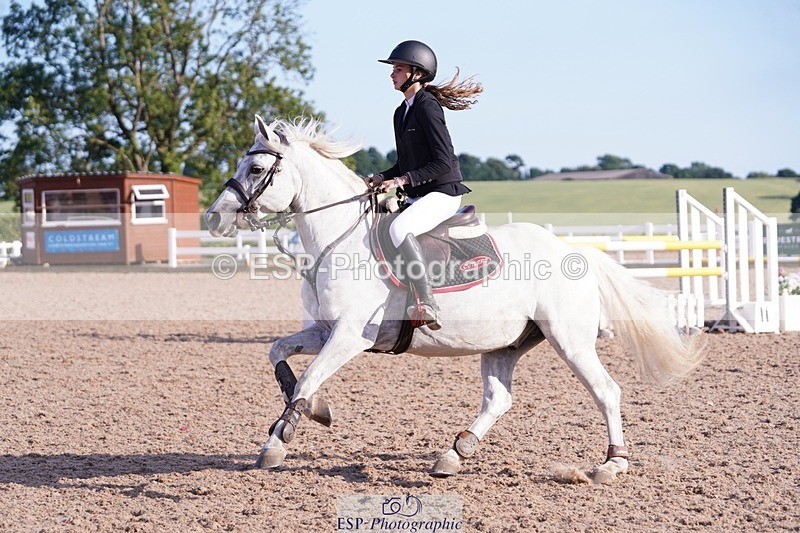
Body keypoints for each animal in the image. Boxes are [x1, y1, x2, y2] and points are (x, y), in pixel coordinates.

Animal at [205, 115, 705, 481]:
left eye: (256, 169)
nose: (213, 218)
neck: (339, 240)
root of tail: (574, 251)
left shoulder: (350, 336)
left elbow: (308, 377)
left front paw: (278, 441)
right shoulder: (324, 330)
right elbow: (279, 355)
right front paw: (313, 411)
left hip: (570, 340)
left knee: (606, 390)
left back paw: (611, 464)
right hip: (506, 343)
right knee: (499, 399)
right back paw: (454, 453)